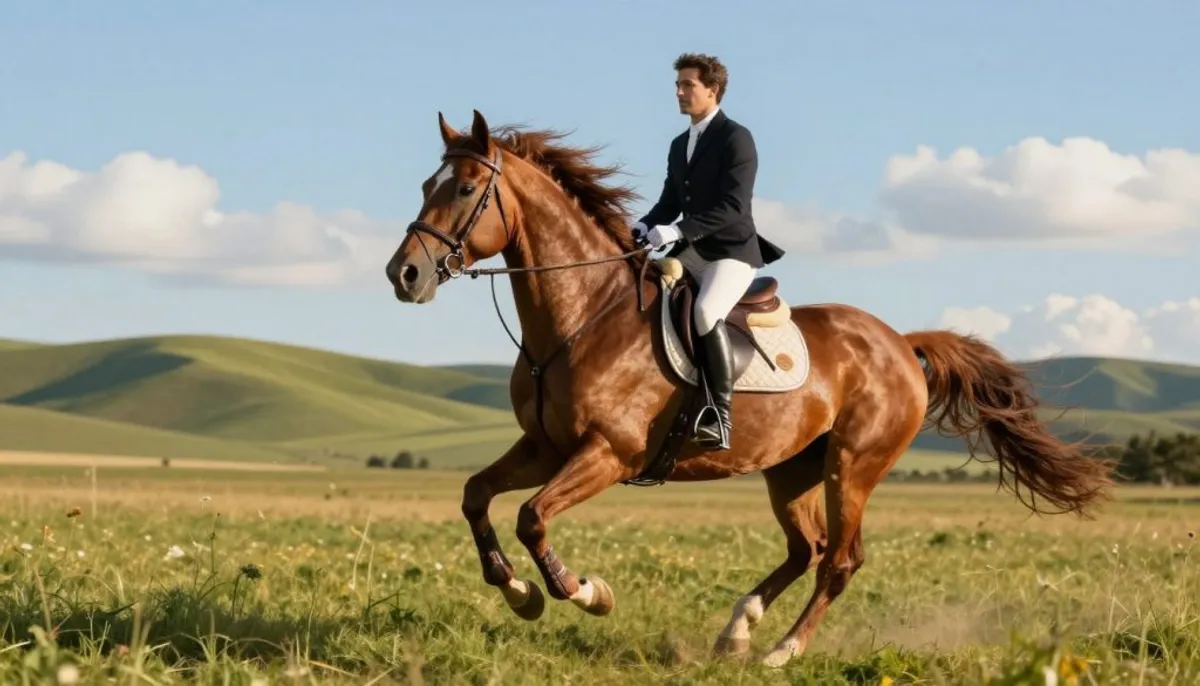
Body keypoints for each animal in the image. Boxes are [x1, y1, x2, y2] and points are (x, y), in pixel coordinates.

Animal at [384, 110, 1116, 667]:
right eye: (424, 183)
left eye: (465, 188)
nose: (404, 274)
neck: (580, 317)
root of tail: (899, 342)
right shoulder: (544, 446)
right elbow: (476, 496)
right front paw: (518, 593)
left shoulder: (608, 454)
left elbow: (532, 517)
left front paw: (586, 592)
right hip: (791, 471)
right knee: (807, 548)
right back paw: (738, 629)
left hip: (854, 465)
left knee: (840, 559)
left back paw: (781, 651)